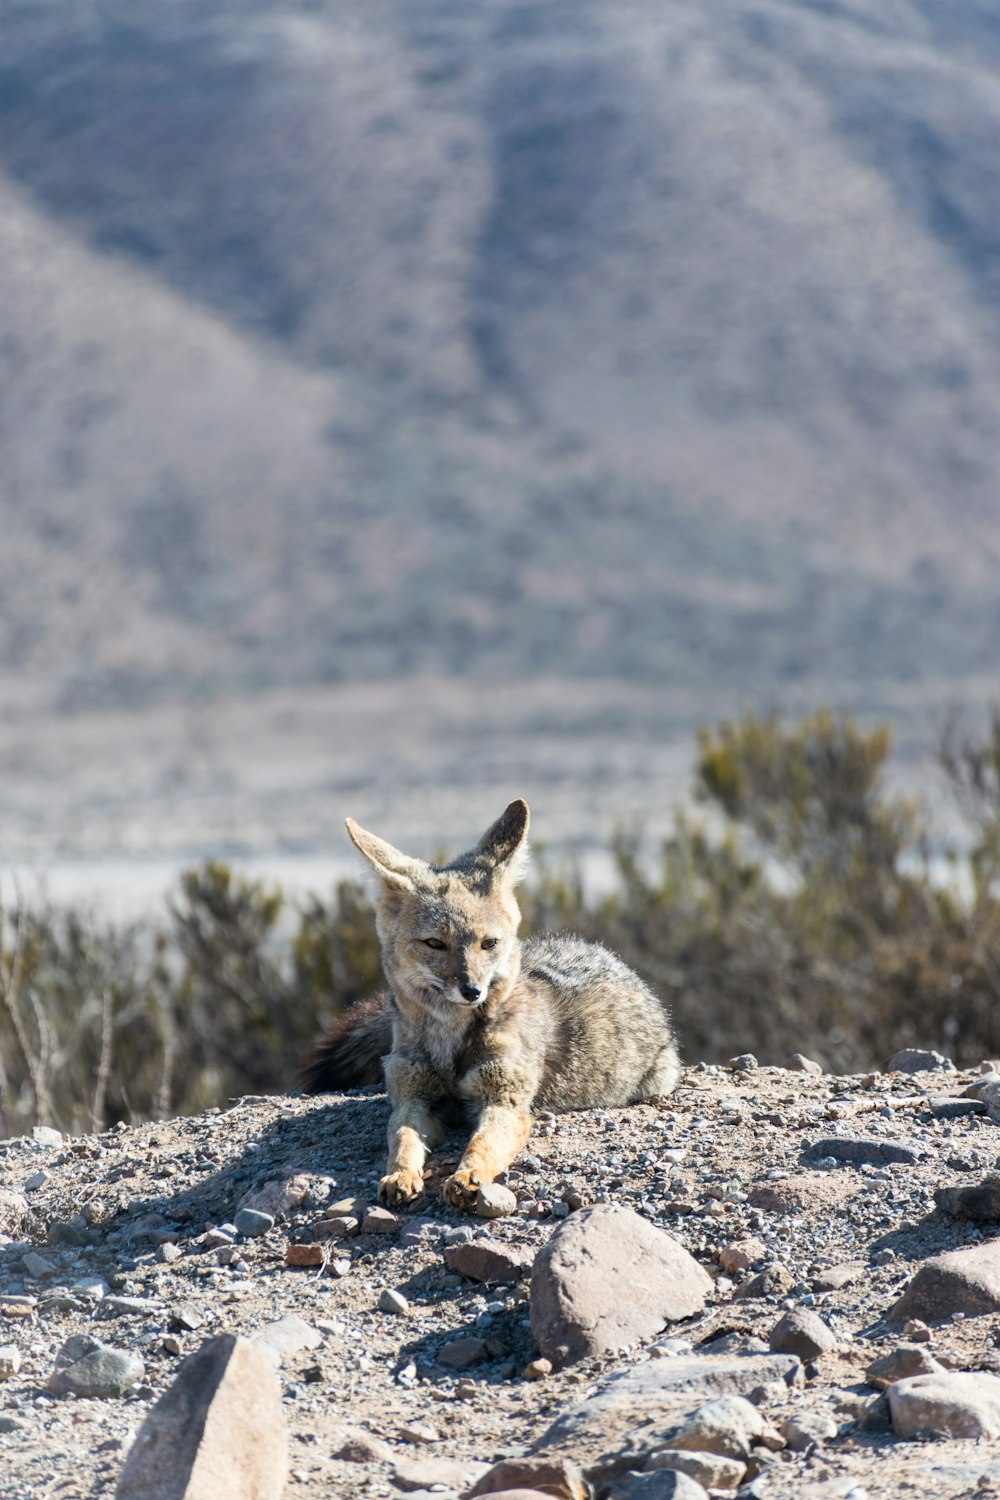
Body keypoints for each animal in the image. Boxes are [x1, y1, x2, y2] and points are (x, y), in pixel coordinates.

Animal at [296, 798, 683, 1206]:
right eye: (435, 943)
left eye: (489, 943)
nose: (472, 990)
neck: (450, 1042)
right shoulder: (412, 1098)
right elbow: (402, 1140)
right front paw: (400, 1175)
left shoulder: (503, 1102)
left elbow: (481, 1144)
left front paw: (469, 1175)